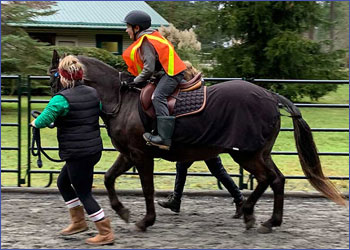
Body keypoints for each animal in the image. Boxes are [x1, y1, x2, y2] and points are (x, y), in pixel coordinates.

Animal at [47, 49, 346, 233]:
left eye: (54, 81)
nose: (51, 111)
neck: (124, 100)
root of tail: (270, 96)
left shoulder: (141, 156)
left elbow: (147, 189)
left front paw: (146, 220)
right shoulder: (128, 154)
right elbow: (109, 178)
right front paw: (123, 212)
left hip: (246, 154)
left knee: (267, 179)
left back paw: (251, 213)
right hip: (258, 152)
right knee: (277, 180)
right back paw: (268, 220)